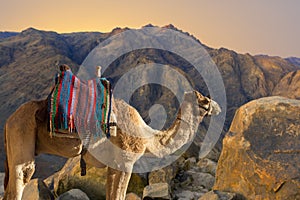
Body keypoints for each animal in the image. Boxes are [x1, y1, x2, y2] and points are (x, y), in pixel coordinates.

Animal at [2, 90, 220, 199]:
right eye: (205, 100)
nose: (217, 107)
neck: (148, 137)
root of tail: (9, 120)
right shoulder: (126, 161)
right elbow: (119, 196)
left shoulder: (113, 165)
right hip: (22, 133)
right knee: (23, 175)